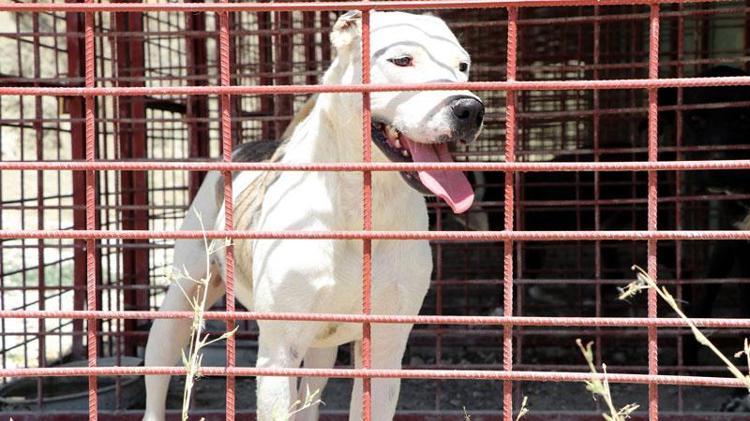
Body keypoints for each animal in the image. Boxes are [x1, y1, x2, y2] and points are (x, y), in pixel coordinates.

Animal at [142, 11, 483, 421]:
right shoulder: (279, 353)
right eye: (402, 60)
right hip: (181, 301)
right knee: (159, 365)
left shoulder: (384, 350)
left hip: (323, 345)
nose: (470, 108)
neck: (364, 206)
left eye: (462, 66)